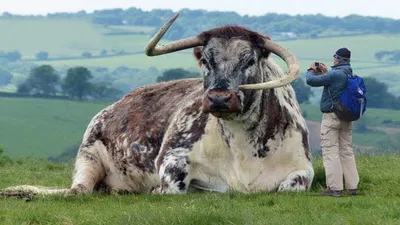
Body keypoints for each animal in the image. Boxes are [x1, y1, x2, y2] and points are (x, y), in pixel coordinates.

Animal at [3, 14, 316, 197]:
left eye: (249, 59)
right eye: (206, 60)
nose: (218, 98)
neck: (243, 148)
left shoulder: (303, 169)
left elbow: (292, 187)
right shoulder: (171, 157)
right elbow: (175, 187)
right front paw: (158, 189)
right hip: (88, 155)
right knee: (78, 190)